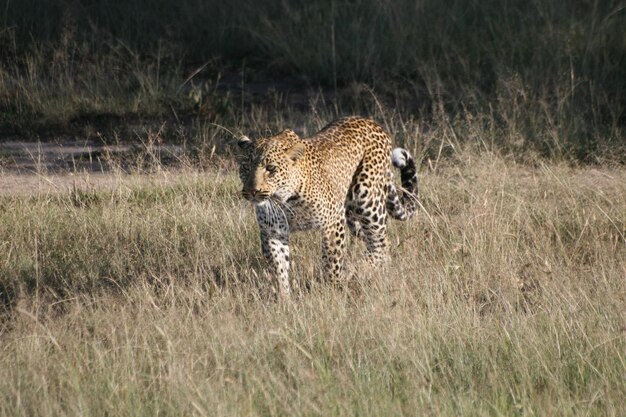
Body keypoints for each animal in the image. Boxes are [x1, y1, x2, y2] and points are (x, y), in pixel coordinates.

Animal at [236, 115, 416, 294]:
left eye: (271, 168)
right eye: (245, 167)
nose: (252, 191)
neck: (285, 198)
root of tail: (371, 122)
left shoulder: (333, 222)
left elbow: (332, 262)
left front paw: (333, 289)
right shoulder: (272, 231)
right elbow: (277, 267)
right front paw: (283, 296)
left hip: (366, 198)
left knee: (381, 243)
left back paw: (359, 269)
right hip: (352, 216)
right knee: (375, 241)